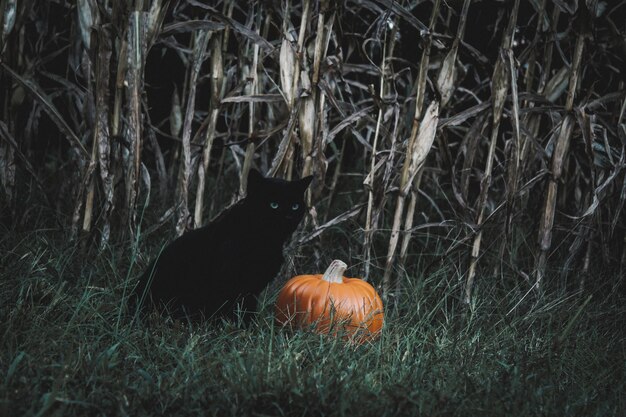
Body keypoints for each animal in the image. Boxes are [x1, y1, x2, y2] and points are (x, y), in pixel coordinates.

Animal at [132, 169, 312, 322]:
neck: (264, 240)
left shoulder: (252, 290)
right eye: (273, 205)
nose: (288, 217)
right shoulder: (228, 283)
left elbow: (247, 310)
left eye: (295, 206)